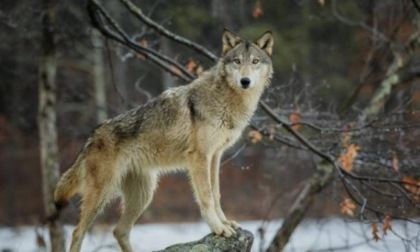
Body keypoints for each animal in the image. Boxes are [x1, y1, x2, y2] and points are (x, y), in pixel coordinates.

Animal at [52, 30, 274, 252]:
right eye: (237, 61)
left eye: (254, 61)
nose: (245, 81)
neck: (226, 99)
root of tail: (91, 136)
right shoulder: (199, 156)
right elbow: (207, 197)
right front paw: (218, 228)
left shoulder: (215, 156)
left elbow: (216, 193)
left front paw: (225, 222)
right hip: (102, 195)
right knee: (77, 232)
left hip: (144, 195)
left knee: (119, 231)